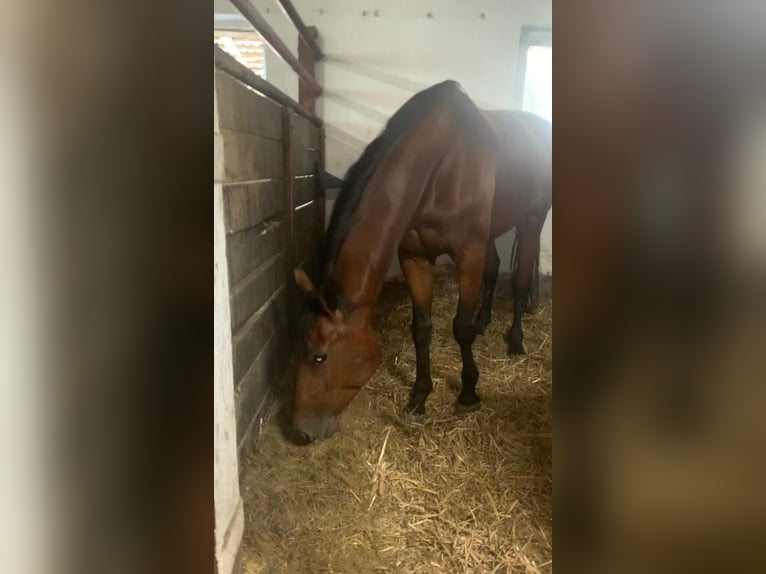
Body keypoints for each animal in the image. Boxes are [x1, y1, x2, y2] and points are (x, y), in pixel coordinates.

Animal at [292, 80, 548, 446]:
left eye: (319, 356)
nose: (300, 432)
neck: (442, 162)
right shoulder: (414, 257)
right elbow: (421, 328)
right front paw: (419, 395)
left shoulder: (467, 254)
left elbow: (461, 328)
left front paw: (468, 393)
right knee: (494, 270)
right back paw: (485, 320)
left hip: (531, 220)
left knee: (521, 278)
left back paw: (514, 340)